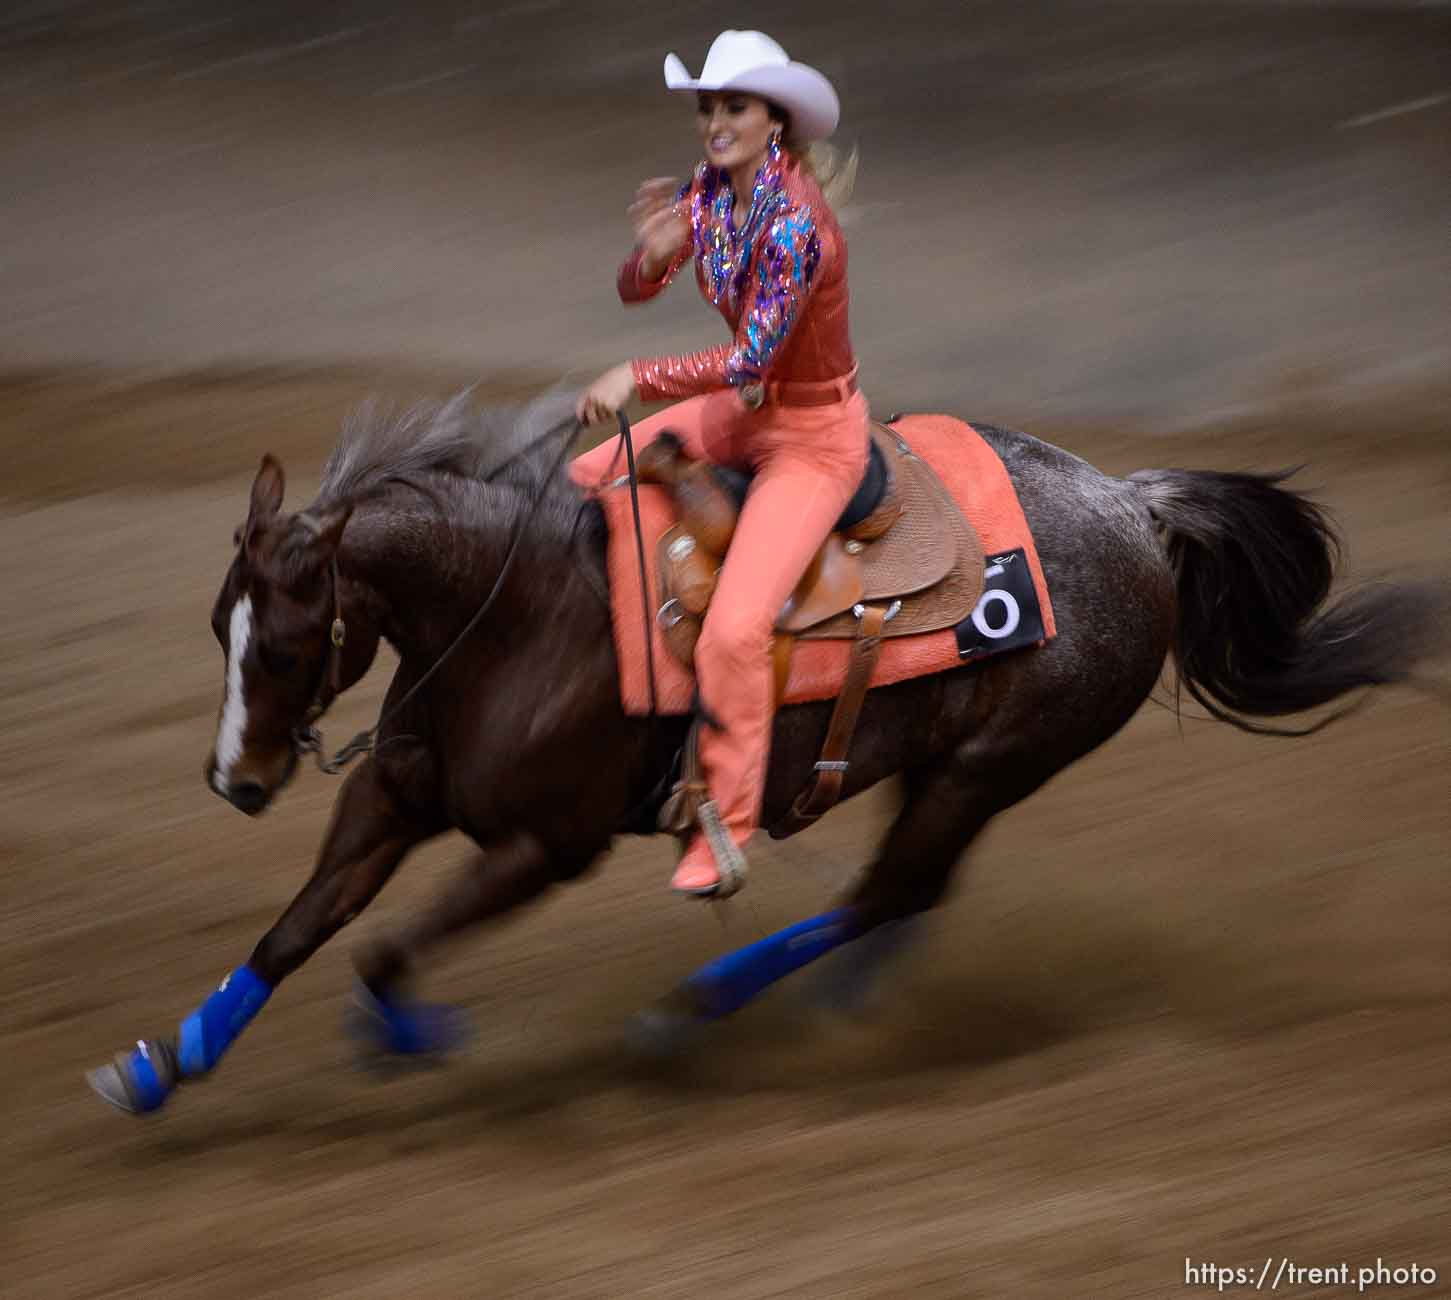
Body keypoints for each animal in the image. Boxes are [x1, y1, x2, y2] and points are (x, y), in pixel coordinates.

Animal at [87, 394, 1439, 1114]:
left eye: (289, 642)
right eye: (217, 626)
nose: (236, 781)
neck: (520, 614)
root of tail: (1132, 505)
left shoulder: (545, 845)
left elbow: (380, 950)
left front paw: (412, 1037)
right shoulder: (393, 787)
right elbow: (296, 931)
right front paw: (160, 1066)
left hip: (992, 762)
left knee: (891, 888)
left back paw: (691, 1011)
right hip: (943, 764)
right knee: (904, 897)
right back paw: (831, 1000)